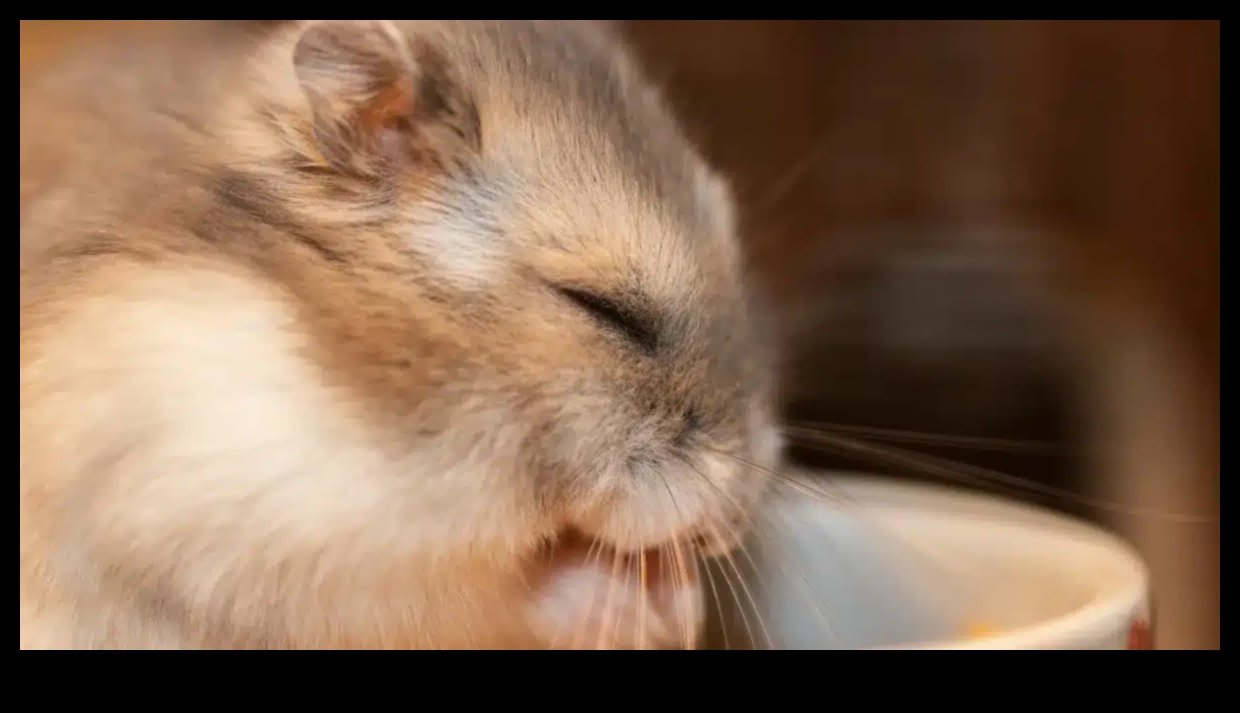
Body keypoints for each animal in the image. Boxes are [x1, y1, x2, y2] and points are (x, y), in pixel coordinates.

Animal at [19, 19, 778, 649]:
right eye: (604, 308)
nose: (735, 522)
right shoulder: (285, 516)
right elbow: (503, 587)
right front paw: (661, 610)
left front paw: (682, 605)